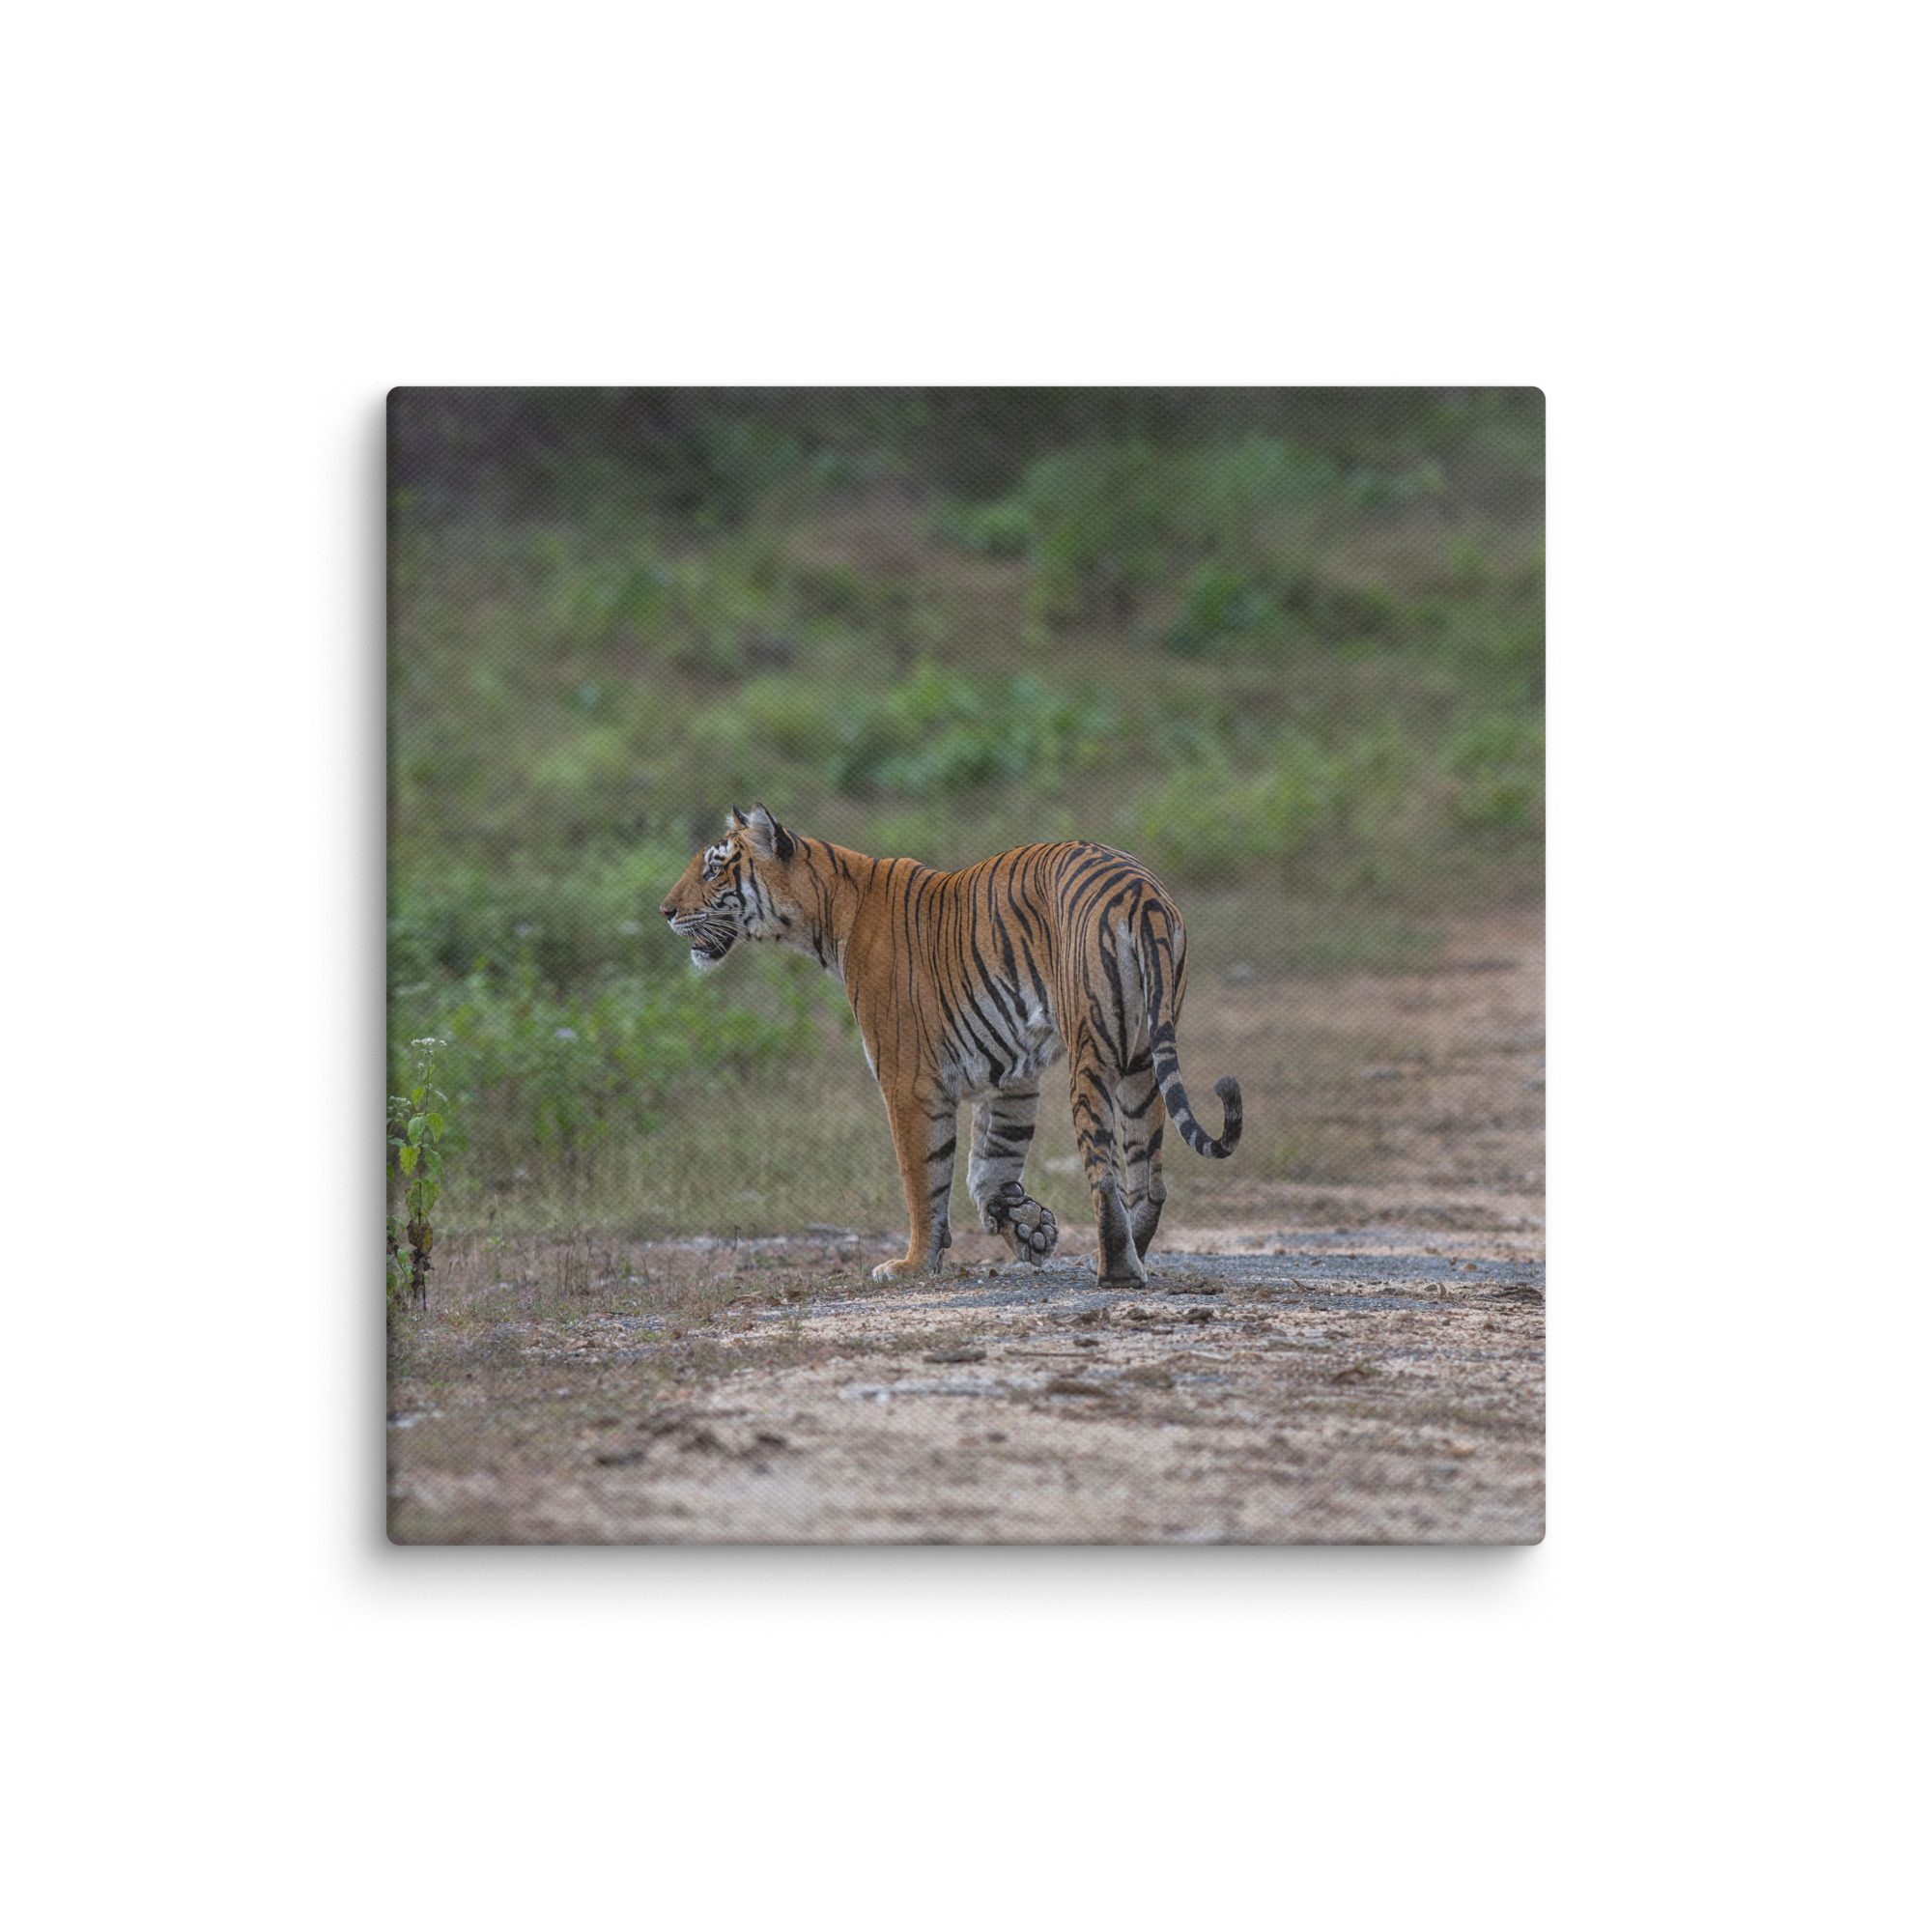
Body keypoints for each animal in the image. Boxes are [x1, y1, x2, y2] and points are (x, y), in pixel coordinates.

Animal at [658, 804, 1242, 1288]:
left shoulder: (908, 1079)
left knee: (1104, 1173)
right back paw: (1132, 1254)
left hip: (1092, 1052)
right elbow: (991, 1161)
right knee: (1149, 1177)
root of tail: (1141, 892)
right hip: (1142, 1059)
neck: (826, 912)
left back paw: (1115, 1271)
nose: (665, 911)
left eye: (713, 870)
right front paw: (1026, 1226)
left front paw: (914, 1263)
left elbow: (923, 1177)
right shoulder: (1011, 1074)